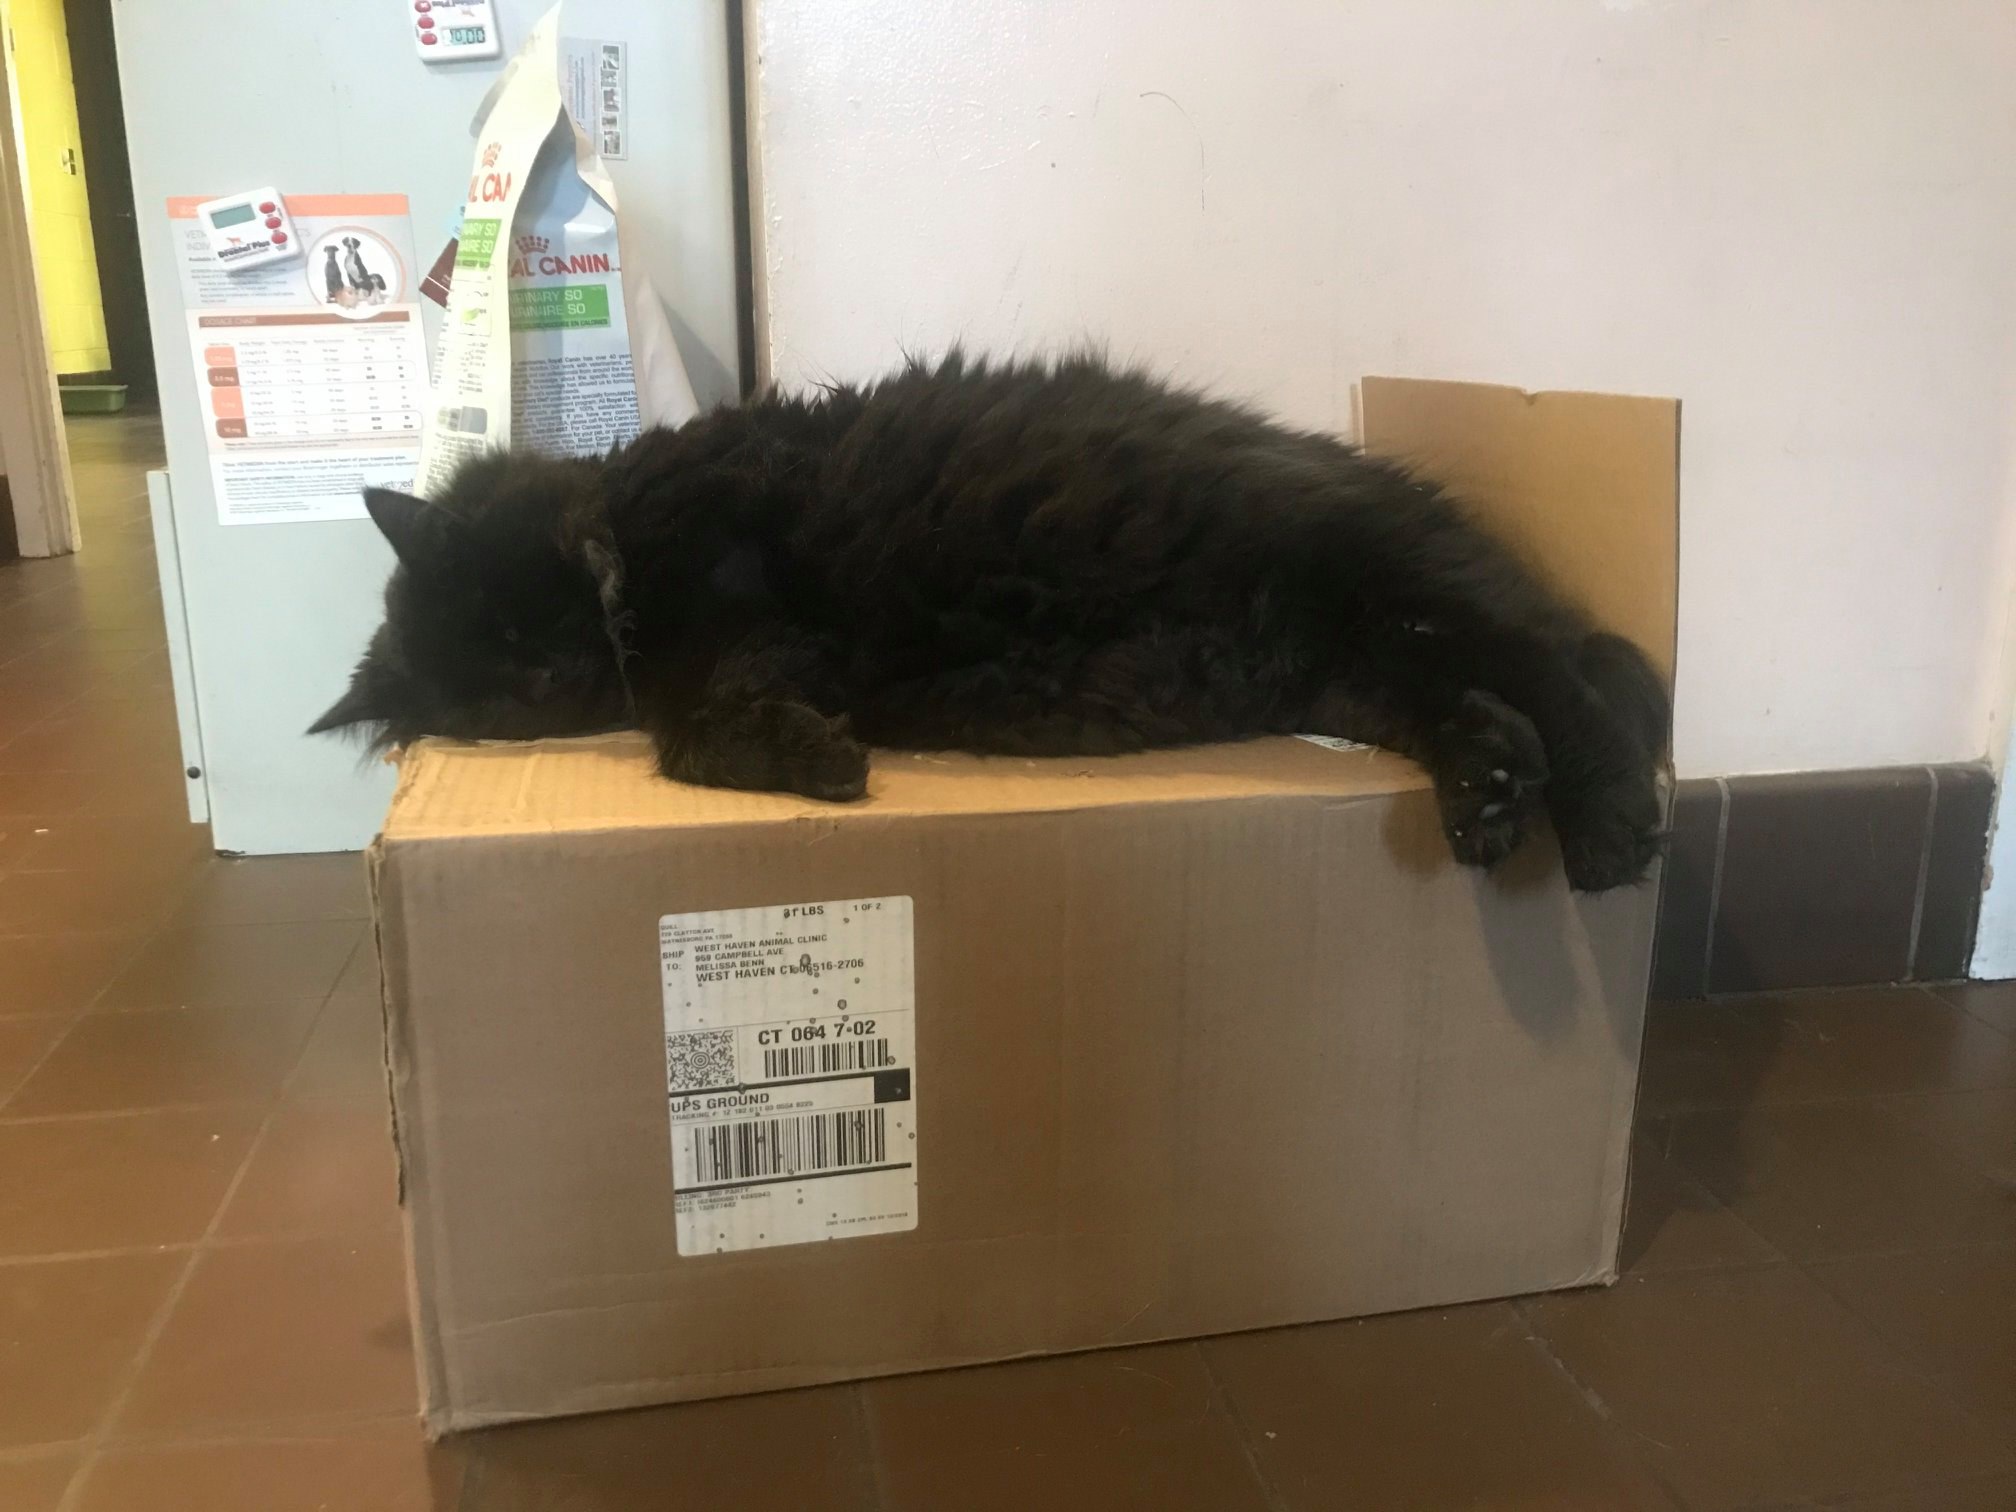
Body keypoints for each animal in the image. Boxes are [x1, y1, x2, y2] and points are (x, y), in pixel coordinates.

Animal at [312, 351, 1668, 891]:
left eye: (511, 613)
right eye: (497, 690)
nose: (547, 666)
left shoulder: (728, 565)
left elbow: (694, 719)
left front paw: (816, 760)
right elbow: (689, 727)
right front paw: (814, 755)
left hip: (1379, 579)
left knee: (1575, 686)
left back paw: (1608, 835)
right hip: (1357, 662)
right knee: (1488, 707)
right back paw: (1490, 799)